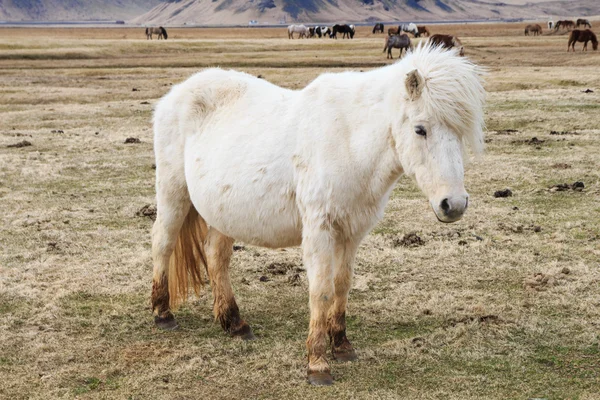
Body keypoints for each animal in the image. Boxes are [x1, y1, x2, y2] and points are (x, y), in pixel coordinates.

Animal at [151, 45, 488, 386]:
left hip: (223, 214)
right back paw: (163, 314)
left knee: (215, 257)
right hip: (173, 192)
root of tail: (177, 93)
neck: (348, 141)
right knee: (163, 243)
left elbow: (342, 284)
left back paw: (235, 323)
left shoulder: (352, 232)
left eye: (460, 133)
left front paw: (341, 344)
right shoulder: (318, 229)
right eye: (421, 129)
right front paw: (317, 364)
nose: (453, 204)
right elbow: (321, 290)